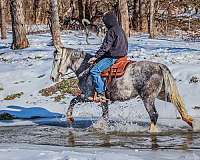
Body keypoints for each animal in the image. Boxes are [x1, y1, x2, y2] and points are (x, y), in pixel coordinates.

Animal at [50, 46, 193, 132]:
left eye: (56, 59)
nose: (52, 77)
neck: (86, 68)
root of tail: (159, 66)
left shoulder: (88, 95)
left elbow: (73, 100)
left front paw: (70, 118)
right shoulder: (103, 100)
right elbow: (105, 115)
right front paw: (101, 127)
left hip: (148, 98)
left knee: (154, 115)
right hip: (162, 94)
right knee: (177, 103)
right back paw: (191, 122)